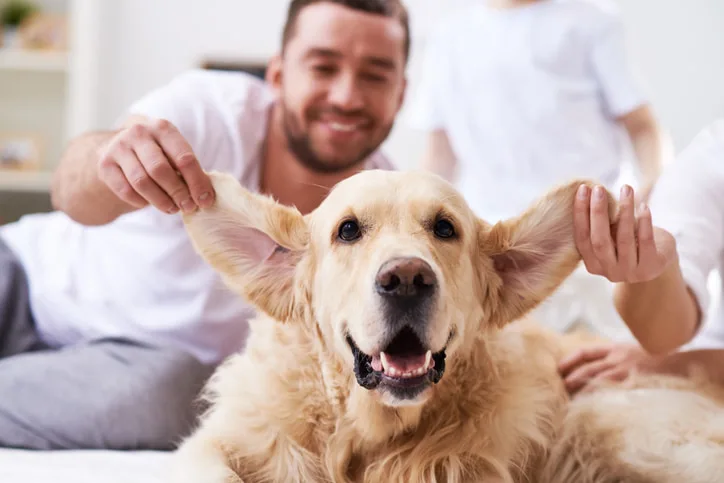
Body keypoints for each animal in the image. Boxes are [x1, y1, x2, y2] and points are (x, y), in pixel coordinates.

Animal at [171, 170, 724, 483]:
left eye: (444, 228)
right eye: (348, 230)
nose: (406, 279)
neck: (370, 435)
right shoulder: (224, 441)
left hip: (604, 423)